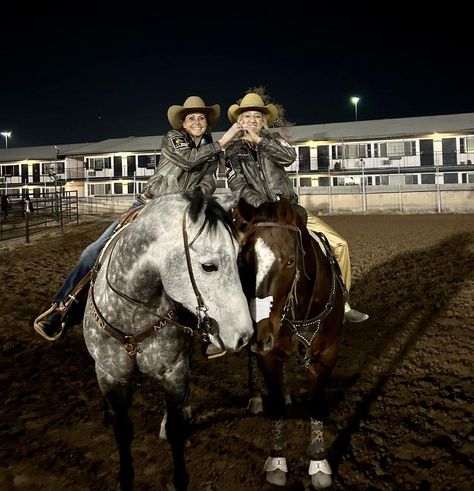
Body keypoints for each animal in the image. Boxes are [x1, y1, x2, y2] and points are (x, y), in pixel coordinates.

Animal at [82, 190, 252, 490]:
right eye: (209, 266)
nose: (244, 335)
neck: (132, 313)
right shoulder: (110, 375)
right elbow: (122, 429)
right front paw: (125, 478)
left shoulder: (174, 371)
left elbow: (175, 430)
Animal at [239, 198, 346, 490]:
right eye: (242, 261)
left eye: (290, 261)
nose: (260, 333)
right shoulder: (267, 355)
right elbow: (275, 405)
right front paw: (277, 462)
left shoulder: (328, 354)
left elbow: (316, 404)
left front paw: (319, 465)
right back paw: (255, 397)